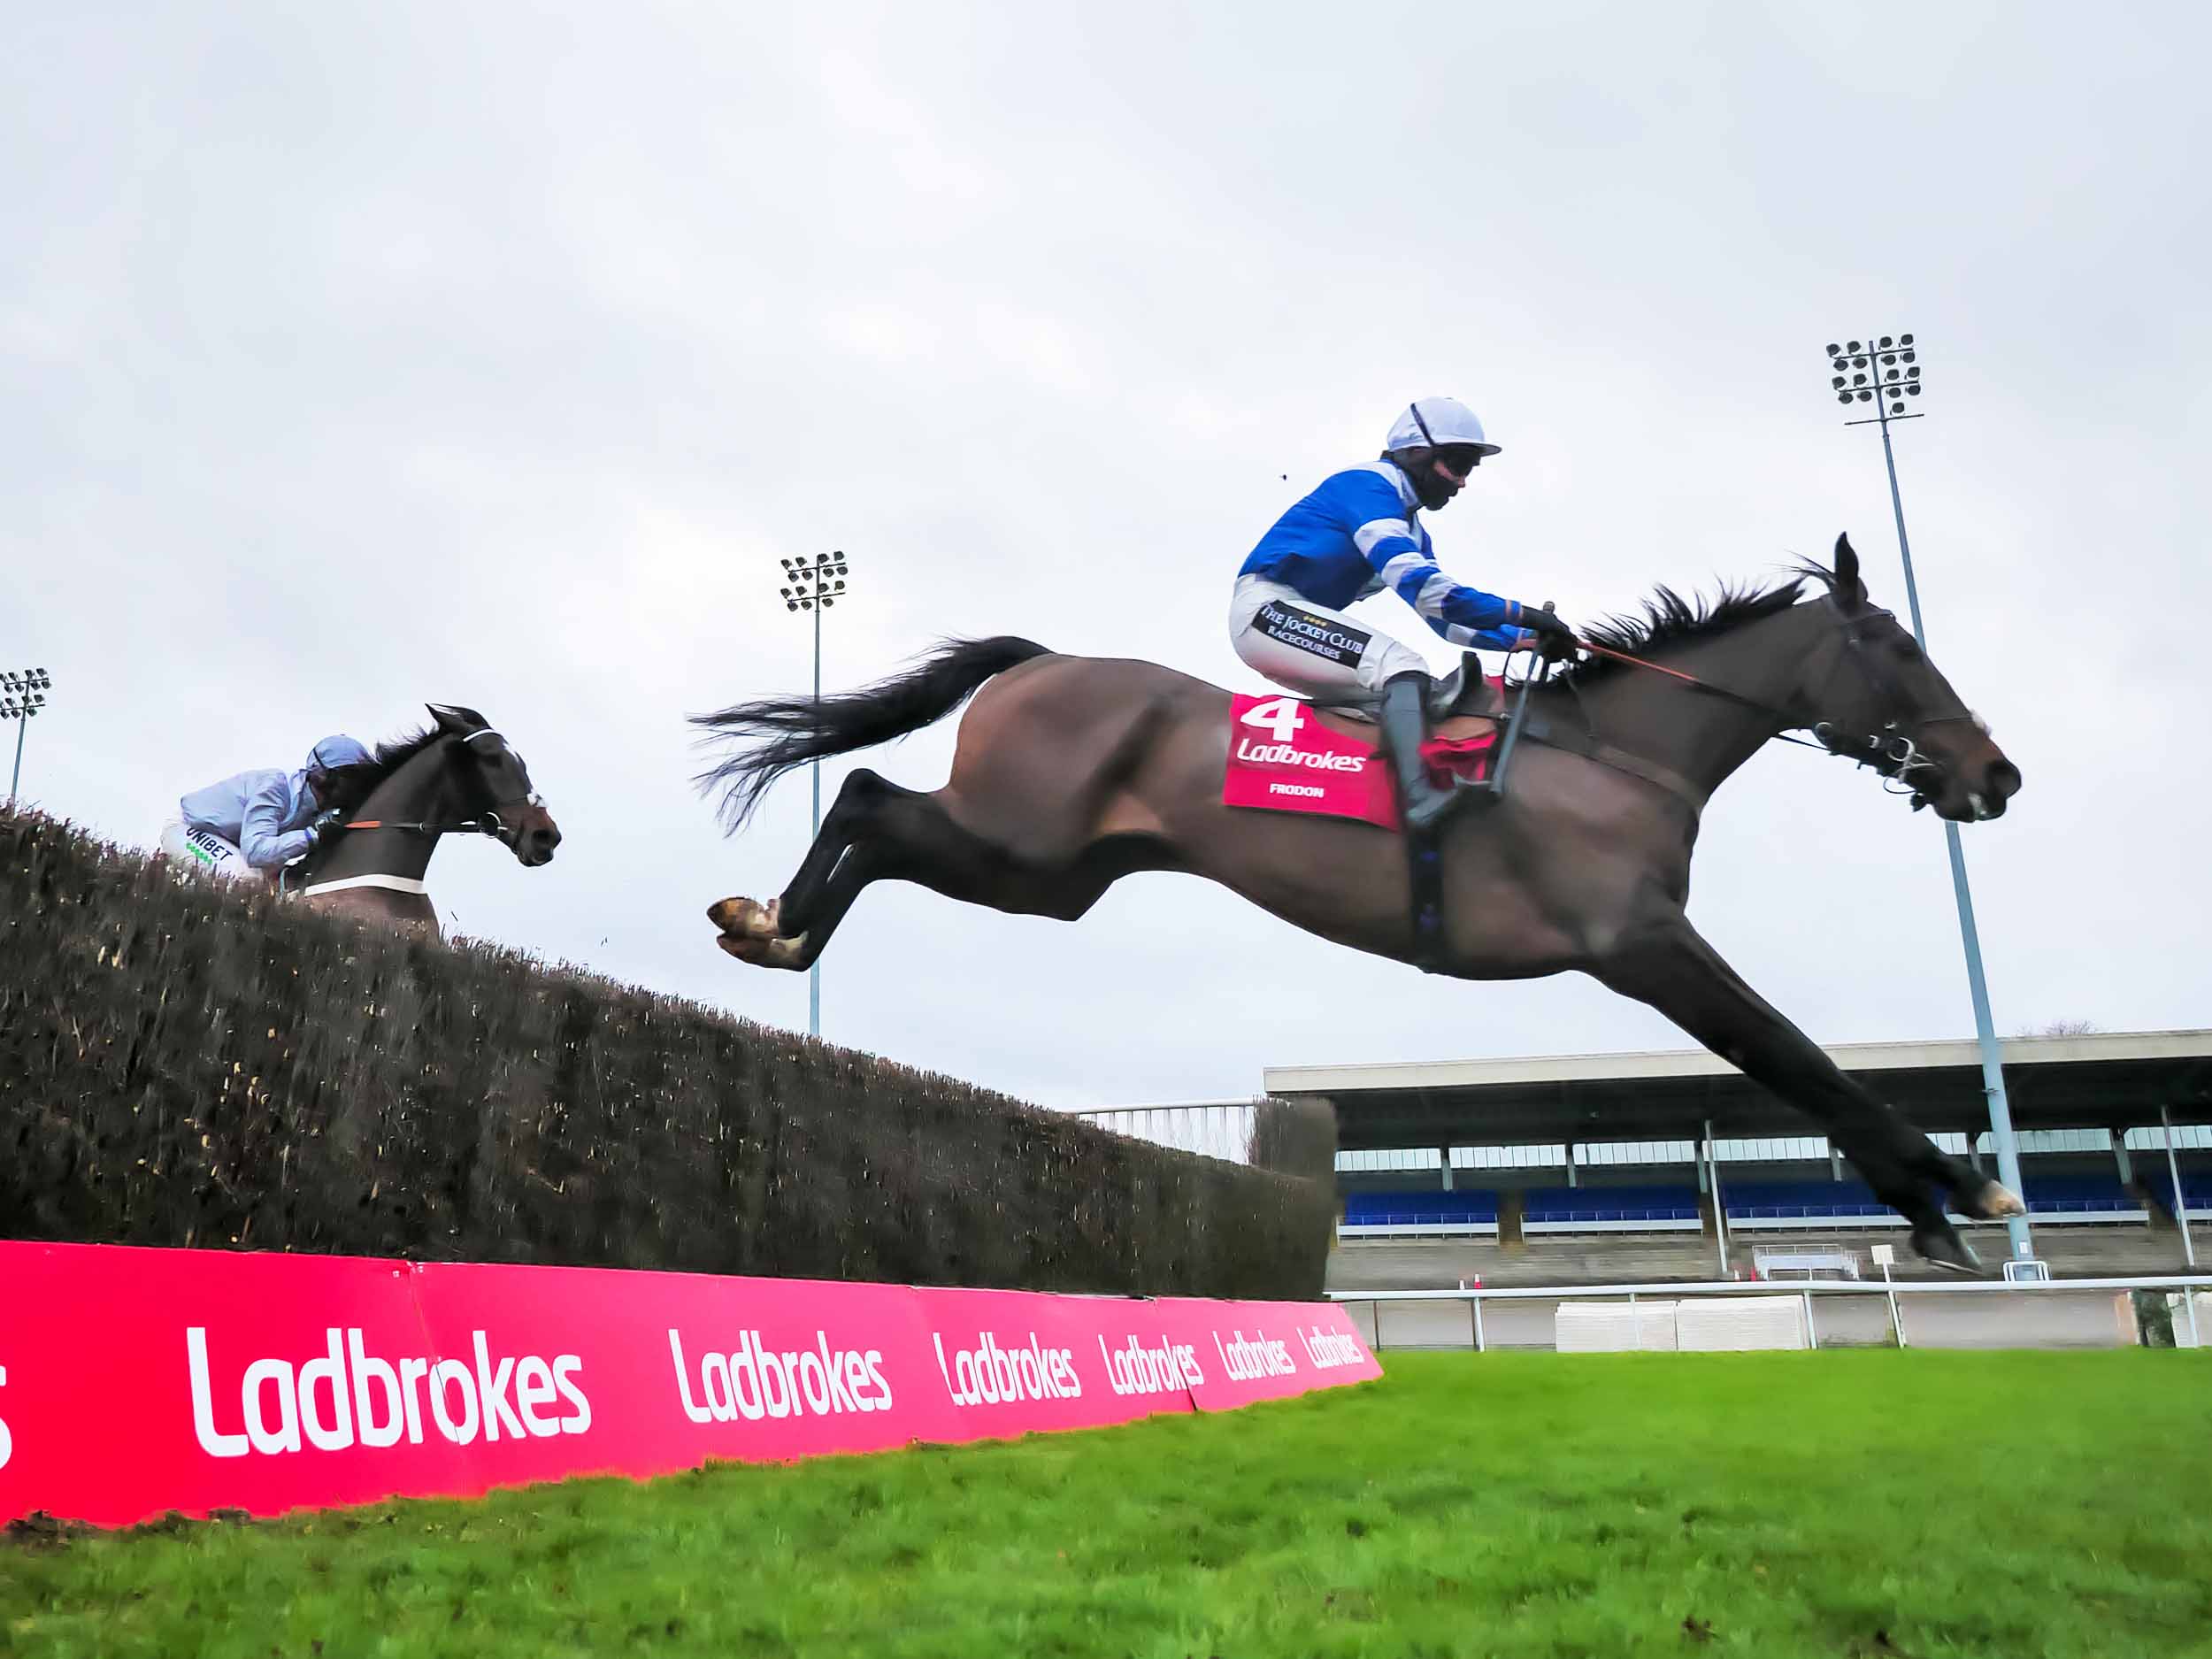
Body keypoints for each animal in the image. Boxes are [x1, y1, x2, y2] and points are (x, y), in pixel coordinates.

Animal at [690, 540, 2026, 1265]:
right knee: (866, 792)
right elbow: (1793, 1054)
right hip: (1019, 840)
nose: (1996, 774)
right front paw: (1951, 1191)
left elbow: (1791, 1054)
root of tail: (1043, 660)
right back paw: (777, 926)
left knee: (876, 809)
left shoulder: (1648, 943)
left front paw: (1939, 1196)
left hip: (1048, 876)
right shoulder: (1639, 940)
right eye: (1902, 651)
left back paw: (777, 926)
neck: (1619, 756)